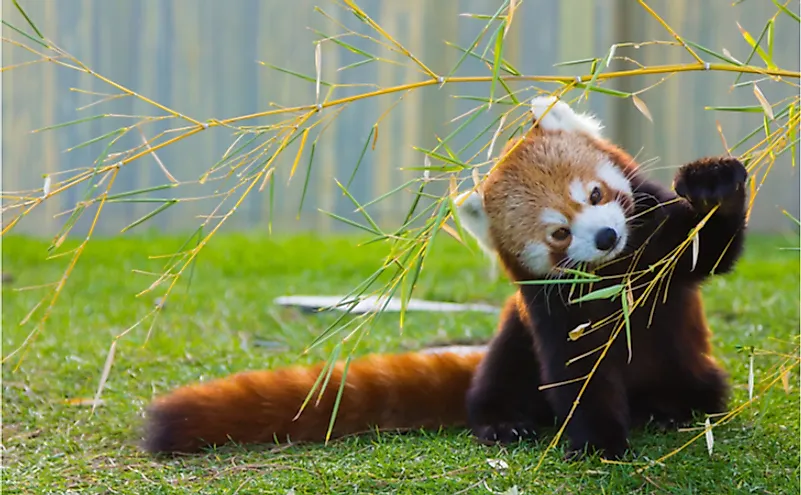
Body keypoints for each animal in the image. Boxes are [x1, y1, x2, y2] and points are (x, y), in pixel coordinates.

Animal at [141, 96, 748, 462]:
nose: (604, 237)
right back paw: (503, 422)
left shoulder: (658, 248)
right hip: (512, 339)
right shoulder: (551, 310)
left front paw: (713, 184)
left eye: (596, 194)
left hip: (694, 368)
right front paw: (596, 442)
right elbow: (577, 373)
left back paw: (669, 409)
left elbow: (710, 252)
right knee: (500, 376)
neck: (613, 274)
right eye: (558, 233)